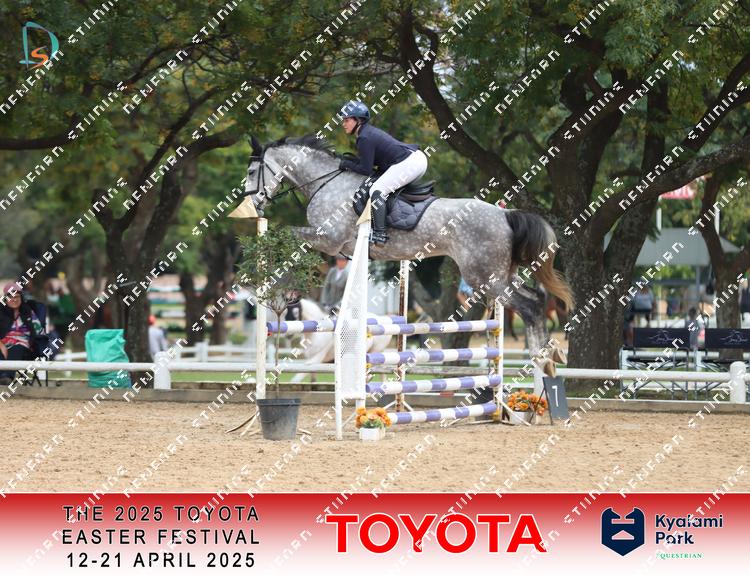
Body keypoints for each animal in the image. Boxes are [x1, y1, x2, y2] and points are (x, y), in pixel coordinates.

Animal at [237, 135, 573, 374]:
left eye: (252, 171)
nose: (254, 204)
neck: (326, 182)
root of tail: (505, 215)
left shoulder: (328, 240)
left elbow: (289, 236)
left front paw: (275, 285)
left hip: (484, 276)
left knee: (530, 306)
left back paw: (542, 359)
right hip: (500, 273)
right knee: (536, 299)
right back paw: (550, 358)